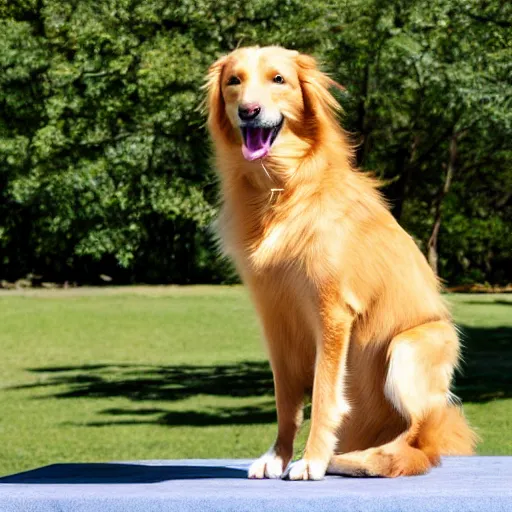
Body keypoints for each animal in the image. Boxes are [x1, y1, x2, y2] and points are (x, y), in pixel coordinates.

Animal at [205, 45, 476, 480]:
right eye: (235, 81)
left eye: (278, 79)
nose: (248, 111)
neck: (281, 189)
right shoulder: (274, 316)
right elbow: (286, 400)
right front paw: (278, 456)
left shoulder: (332, 311)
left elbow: (324, 394)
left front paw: (311, 459)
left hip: (409, 347)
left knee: (420, 439)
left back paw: (365, 460)